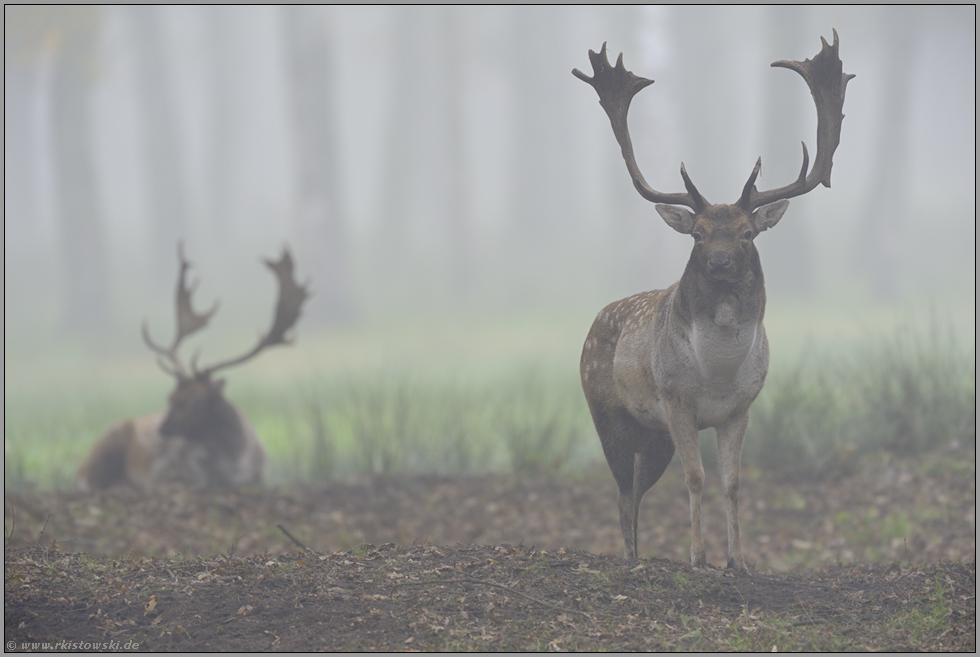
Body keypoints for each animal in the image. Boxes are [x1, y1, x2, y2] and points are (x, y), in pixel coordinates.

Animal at [80, 246, 310, 492]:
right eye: (170, 397)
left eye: (196, 401)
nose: (163, 430)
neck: (231, 466)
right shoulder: (161, 473)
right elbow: (185, 483)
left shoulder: (260, 476)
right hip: (105, 445)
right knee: (89, 482)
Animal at [576, 30, 848, 568]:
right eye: (698, 234)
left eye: (747, 233)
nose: (720, 263)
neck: (718, 373)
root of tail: (593, 324)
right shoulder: (676, 400)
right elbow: (696, 477)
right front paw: (698, 557)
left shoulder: (741, 408)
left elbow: (734, 482)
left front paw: (738, 560)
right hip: (608, 413)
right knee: (622, 492)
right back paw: (632, 558)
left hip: (653, 435)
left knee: (636, 491)